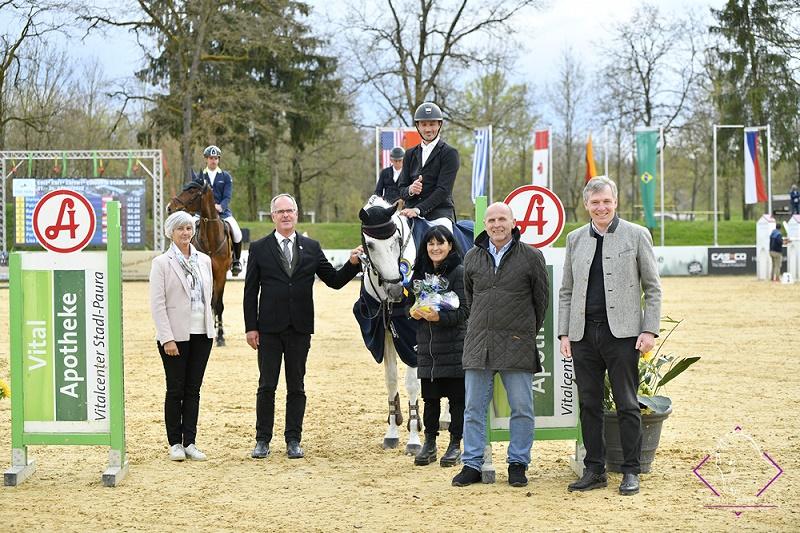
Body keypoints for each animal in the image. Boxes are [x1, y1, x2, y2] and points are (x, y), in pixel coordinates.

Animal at [166, 180, 231, 344]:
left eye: (192, 192)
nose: (169, 207)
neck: (211, 239)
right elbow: (211, 302)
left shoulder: (221, 274)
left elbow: (218, 305)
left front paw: (220, 336)